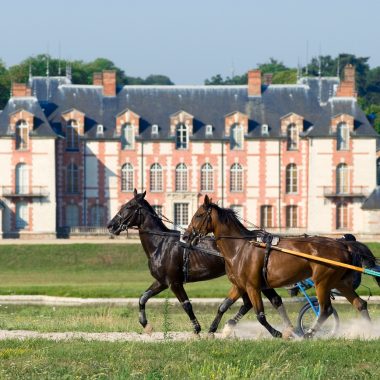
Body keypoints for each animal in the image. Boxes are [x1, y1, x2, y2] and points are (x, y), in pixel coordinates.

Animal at [107, 190, 294, 336]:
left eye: (128, 206)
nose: (110, 225)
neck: (161, 244)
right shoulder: (161, 282)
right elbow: (142, 298)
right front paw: (146, 325)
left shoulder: (174, 282)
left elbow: (187, 305)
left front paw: (197, 329)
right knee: (255, 303)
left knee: (267, 301)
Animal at [185, 196, 380, 338]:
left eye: (198, 215)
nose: (186, 236)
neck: (241, 248)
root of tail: (343, 245)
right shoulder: (239, 286)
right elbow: (223, 306)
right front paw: (212, 330)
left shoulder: (252, 286)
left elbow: (260, 315)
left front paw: (278, 333)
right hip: (340, 282)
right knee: (360, 304)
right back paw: (369, 331)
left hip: (322, 282)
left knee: (325, 310)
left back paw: (310, 333)